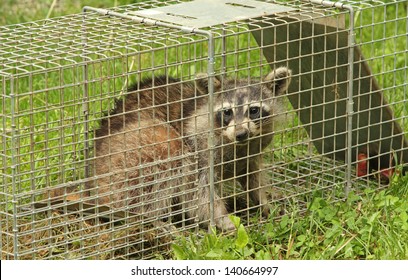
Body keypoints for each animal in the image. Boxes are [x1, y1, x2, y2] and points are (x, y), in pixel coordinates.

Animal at [87, 66, 290, 231]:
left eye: (254, 110)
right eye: (227, 112)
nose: (241, 133)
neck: (236, 144)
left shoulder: (253, 149)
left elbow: (253, 177)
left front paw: (264, 203)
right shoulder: (199, 148)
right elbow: (199, 193)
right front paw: (221, 218)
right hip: (129, 154)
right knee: (164, 153)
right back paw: (149, 218)